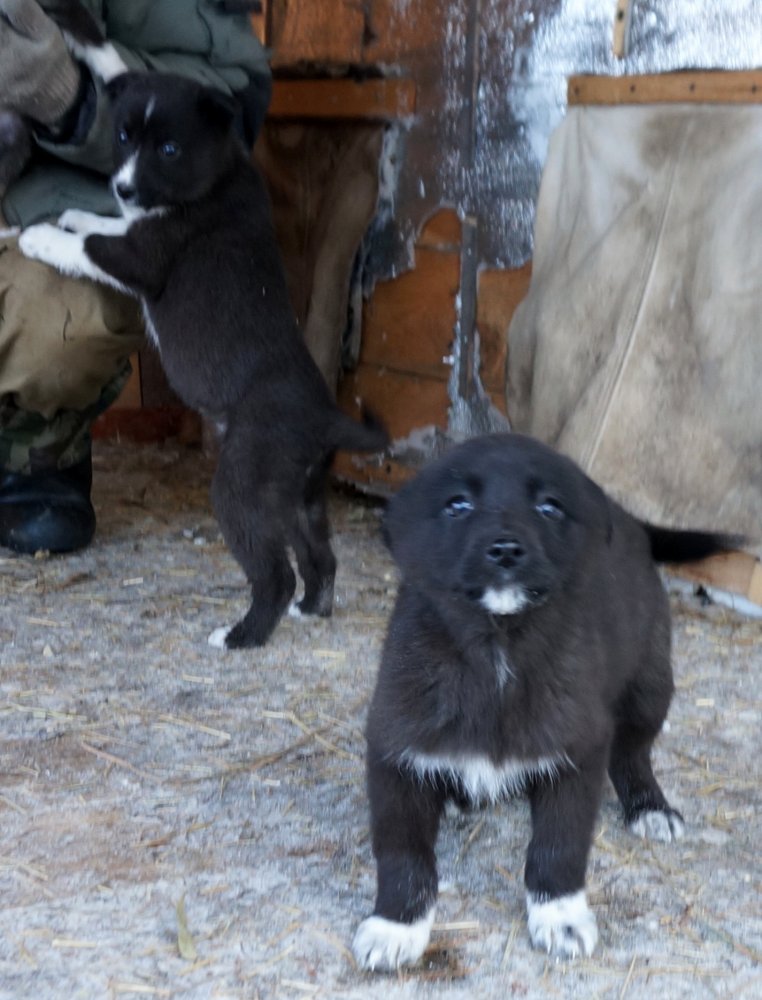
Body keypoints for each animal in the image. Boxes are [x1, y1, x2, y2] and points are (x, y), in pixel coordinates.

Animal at [352, 432, 736, 971]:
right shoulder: (396, 749)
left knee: (633, 753)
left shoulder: (576, 752)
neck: (498, 649)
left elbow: (559, 847)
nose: (506, 549)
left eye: (549, 506)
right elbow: (403, 854)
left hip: (650, 684)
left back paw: (650, 807)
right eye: (457, 504)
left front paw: (560, 917)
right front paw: (396, 926)